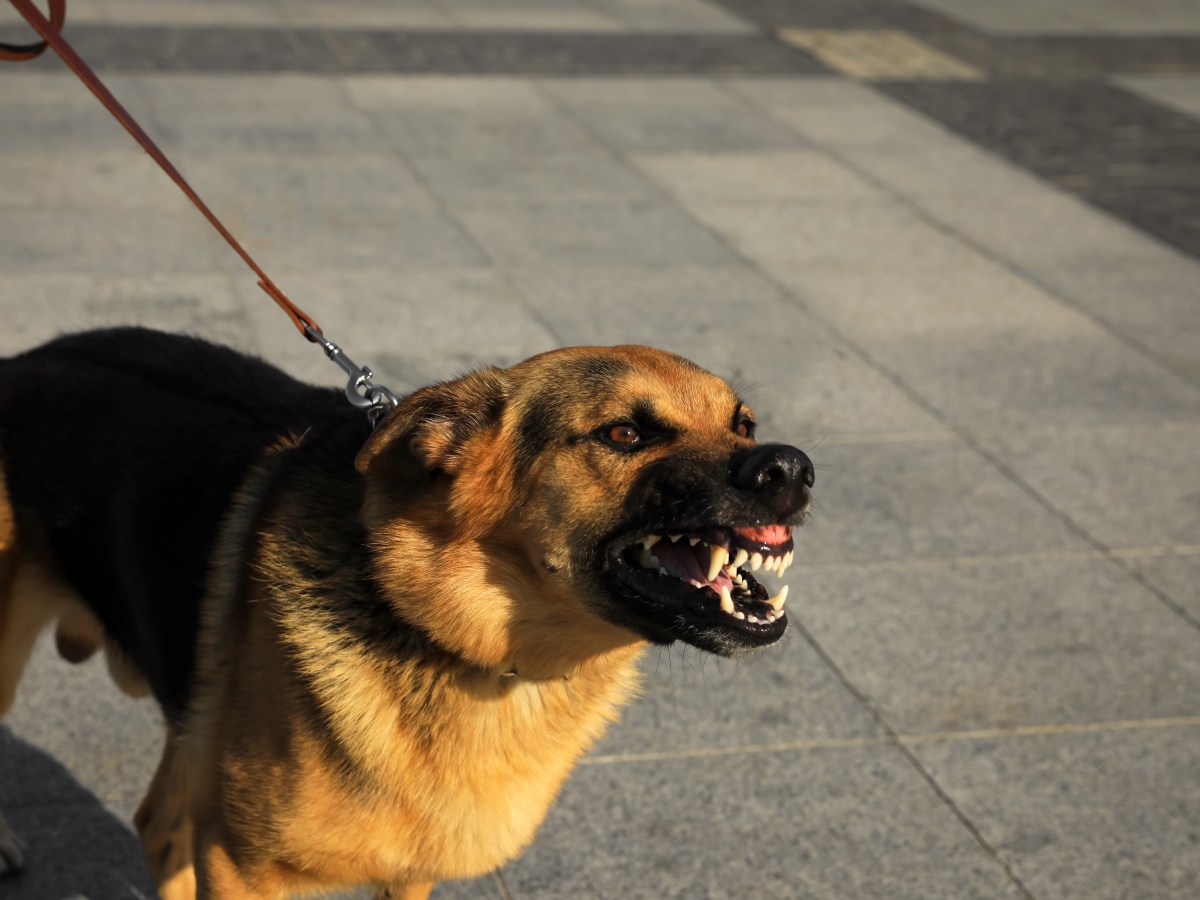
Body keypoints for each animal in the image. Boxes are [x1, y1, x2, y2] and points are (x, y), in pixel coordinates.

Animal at [0, 328, 816, 897]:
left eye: (743, 425)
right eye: (626, 434)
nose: (792, 469)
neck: (468, 650)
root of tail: (20, 360)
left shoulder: (406, 875)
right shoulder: (238, 867)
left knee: (158, 828)